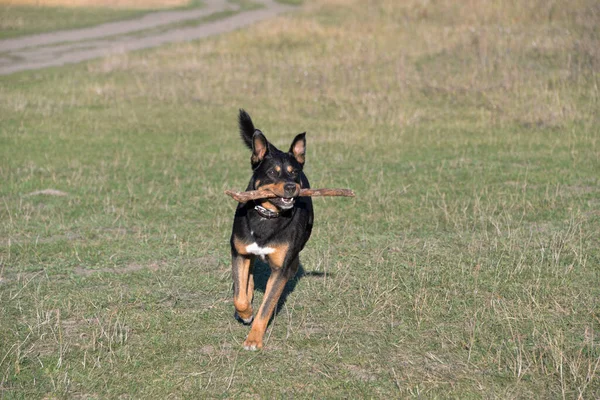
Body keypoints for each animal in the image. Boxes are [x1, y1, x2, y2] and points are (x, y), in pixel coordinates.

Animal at [230, 109, 314, 350]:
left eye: (294, 172)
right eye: (273, 173)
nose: (291, 186)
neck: (268, 215)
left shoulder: (280, 269)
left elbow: (266, 307)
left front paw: (254, 339)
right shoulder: (239, 251)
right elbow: (239, 296)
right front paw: (245, 313)